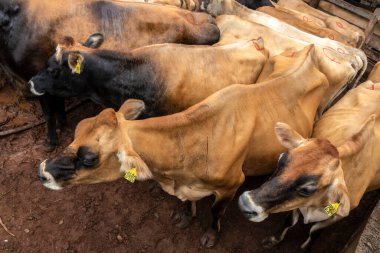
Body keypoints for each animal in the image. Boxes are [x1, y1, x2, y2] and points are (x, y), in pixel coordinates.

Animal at [0, 0, 220, 150]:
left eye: (53, 70)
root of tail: (207, 18)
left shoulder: (36, 76)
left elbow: (48, 113)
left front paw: (50, 142)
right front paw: (63, 123)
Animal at [37, 45, 330, 247]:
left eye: (89, 158)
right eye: (76, 132)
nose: (42, 171)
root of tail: (309, 49)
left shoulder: (232, 184)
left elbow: (215, 212)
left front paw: (211, 235)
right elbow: (185, 203)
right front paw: (185, 216)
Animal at [238, 81, 380, 251]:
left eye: (307, 189)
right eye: (281, 159)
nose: (245, 203)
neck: (314, 205)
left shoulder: (336, 216)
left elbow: (315, 231)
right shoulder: (296, 204)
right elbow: (290, 221)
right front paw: (274, 239)